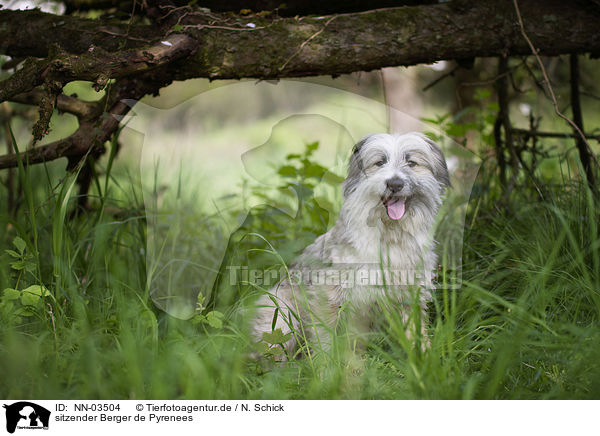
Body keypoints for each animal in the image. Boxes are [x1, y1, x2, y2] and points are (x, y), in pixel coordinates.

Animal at [250, 132, 450, 358]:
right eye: (380, 162)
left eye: (411, 162)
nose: (395, 184)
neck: (390, 235)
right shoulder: (330, 294)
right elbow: (326, 336)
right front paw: (327, 364)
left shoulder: (410, 294)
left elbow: (416, 332)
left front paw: (425, 357)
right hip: (279, 314)